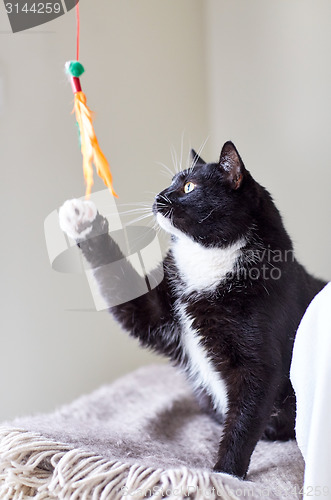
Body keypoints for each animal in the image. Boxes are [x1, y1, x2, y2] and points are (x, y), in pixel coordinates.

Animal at [59, 142, 324, 480]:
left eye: (189, 187)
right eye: (172, 181)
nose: (159, 196)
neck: (207, 260)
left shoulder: (261, 363)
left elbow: (245, 418)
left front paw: (225, 475)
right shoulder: (157, 308)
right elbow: (122, 288)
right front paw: (82, 222)